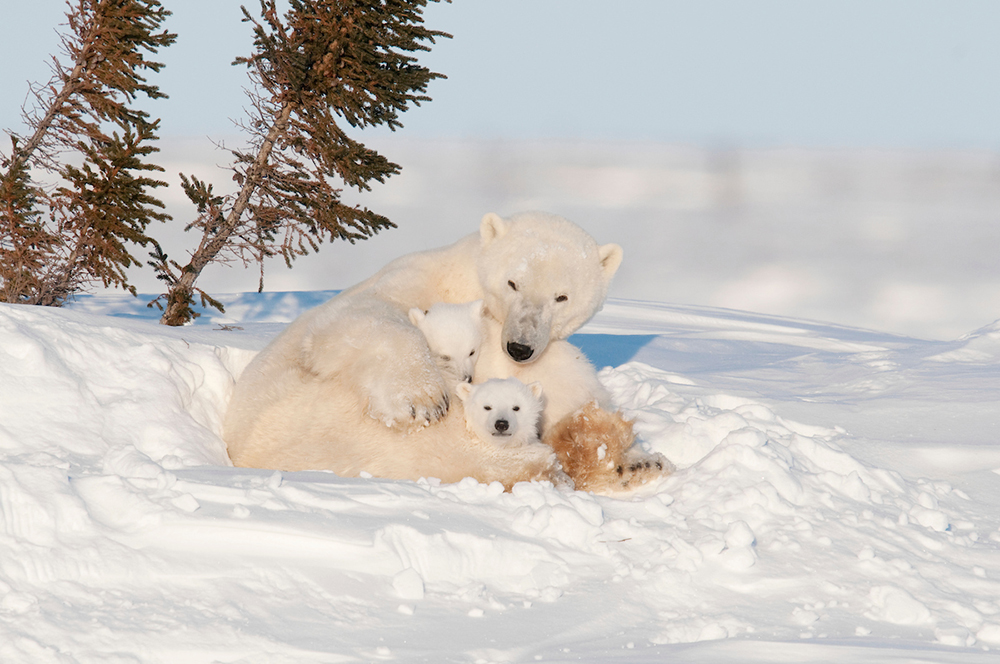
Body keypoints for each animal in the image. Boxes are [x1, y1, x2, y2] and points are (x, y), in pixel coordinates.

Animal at [223, 211, 669, 491]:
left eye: (562, 297)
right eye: (513, 283)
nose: (520, 347)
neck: (467, 281)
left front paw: (635, 456)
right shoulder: (413, 282)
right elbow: (359, 317)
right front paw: (421, 399)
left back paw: (629, 461)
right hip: (330, 421)